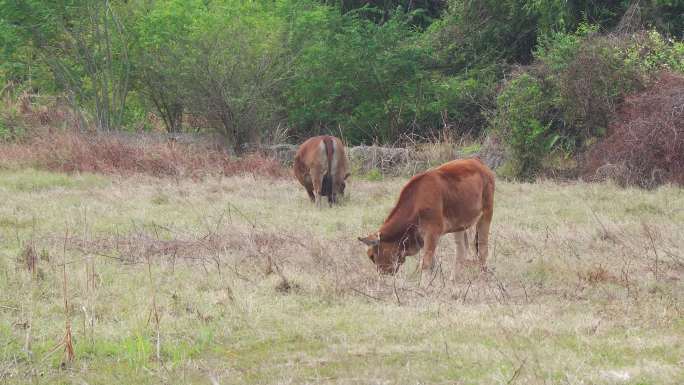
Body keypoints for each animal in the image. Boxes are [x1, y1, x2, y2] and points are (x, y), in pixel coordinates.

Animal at [356, 158, 494, 274]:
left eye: (372, 255)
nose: (382, 273)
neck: (416, 201)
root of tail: (479, 163)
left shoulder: (433, 233)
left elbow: (426, 264)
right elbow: (432, 264)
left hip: (486, 213)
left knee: (482, 248)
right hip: (460, 225)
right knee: (461, 251)